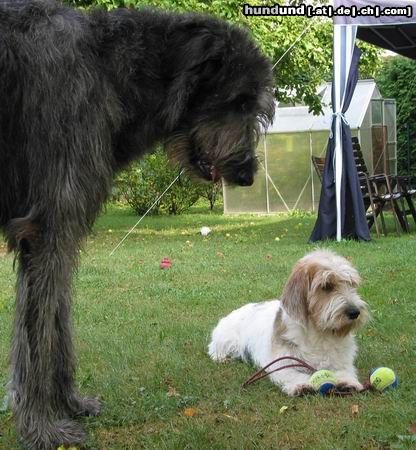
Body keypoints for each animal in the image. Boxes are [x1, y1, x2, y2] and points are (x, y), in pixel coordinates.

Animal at [0, 0, 274, 450]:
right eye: (239, 100)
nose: (247, 174)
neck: (108, 68)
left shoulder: (53, 234)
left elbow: (56, 318)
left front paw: (70, 403)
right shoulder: (47, 226)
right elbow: (39, 331)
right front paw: (42, 427)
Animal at [210, 251, 368, 396]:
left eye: (351, 284)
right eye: (326, 286)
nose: (355, 312)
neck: (319, 332)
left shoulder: (342, 360)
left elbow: (344, 370)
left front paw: (348, 382)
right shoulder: (282, 361)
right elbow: (291, 373)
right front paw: (301, 385)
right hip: (226, 340)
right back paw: (221, 357)